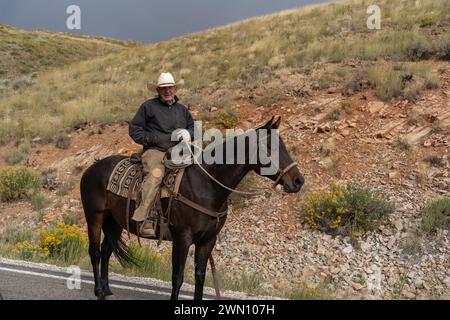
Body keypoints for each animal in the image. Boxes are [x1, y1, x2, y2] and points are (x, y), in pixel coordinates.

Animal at [81, 117, 306, 300]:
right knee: (95, 252)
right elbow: (178, 277)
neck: (207, 185)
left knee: (106, 251)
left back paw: (107, 289)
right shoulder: (182, 238)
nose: (298, 181)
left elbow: (200, 276)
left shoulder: (208, 240)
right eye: (269, 147)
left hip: (114, 221)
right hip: (95, 217)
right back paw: (99, 291)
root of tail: (91, 169)